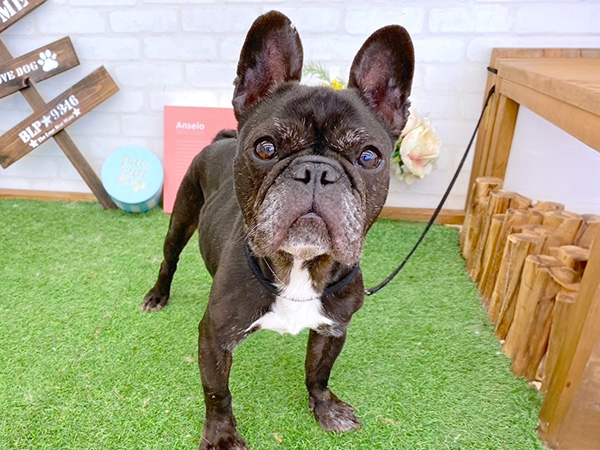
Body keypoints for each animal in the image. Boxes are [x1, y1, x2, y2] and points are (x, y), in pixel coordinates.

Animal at [142, 11, 414, 450]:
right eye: (266, 148)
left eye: (369, 157)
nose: (317, 171)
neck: (300, 266)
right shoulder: (214, 337)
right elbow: (217, 391)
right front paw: (221, 435)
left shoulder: (334, 327)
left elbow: (319, 372)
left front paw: (325, 408)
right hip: (181, 217)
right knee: (170, 259)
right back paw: (157, 295)